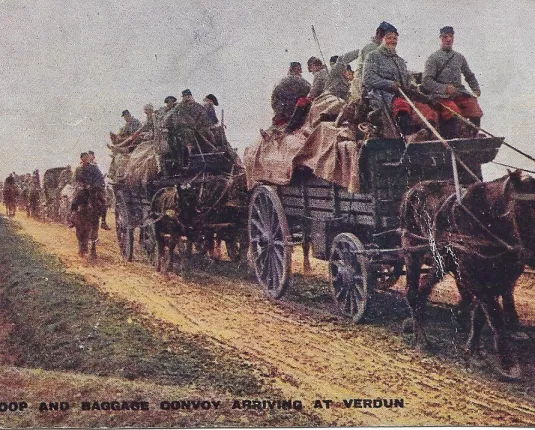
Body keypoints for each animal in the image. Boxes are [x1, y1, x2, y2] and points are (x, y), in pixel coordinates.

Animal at [402, 171, 535, 380]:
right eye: (523, 209)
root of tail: (413, 190)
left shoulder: (500, 277)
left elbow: (481, 314)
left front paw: (474, 351)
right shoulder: (472, 274)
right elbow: (494, 315)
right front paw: (508, 363)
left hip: (442, 259)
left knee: (423, 288)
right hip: (412, 250)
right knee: (412, 292)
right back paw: (421, 339)